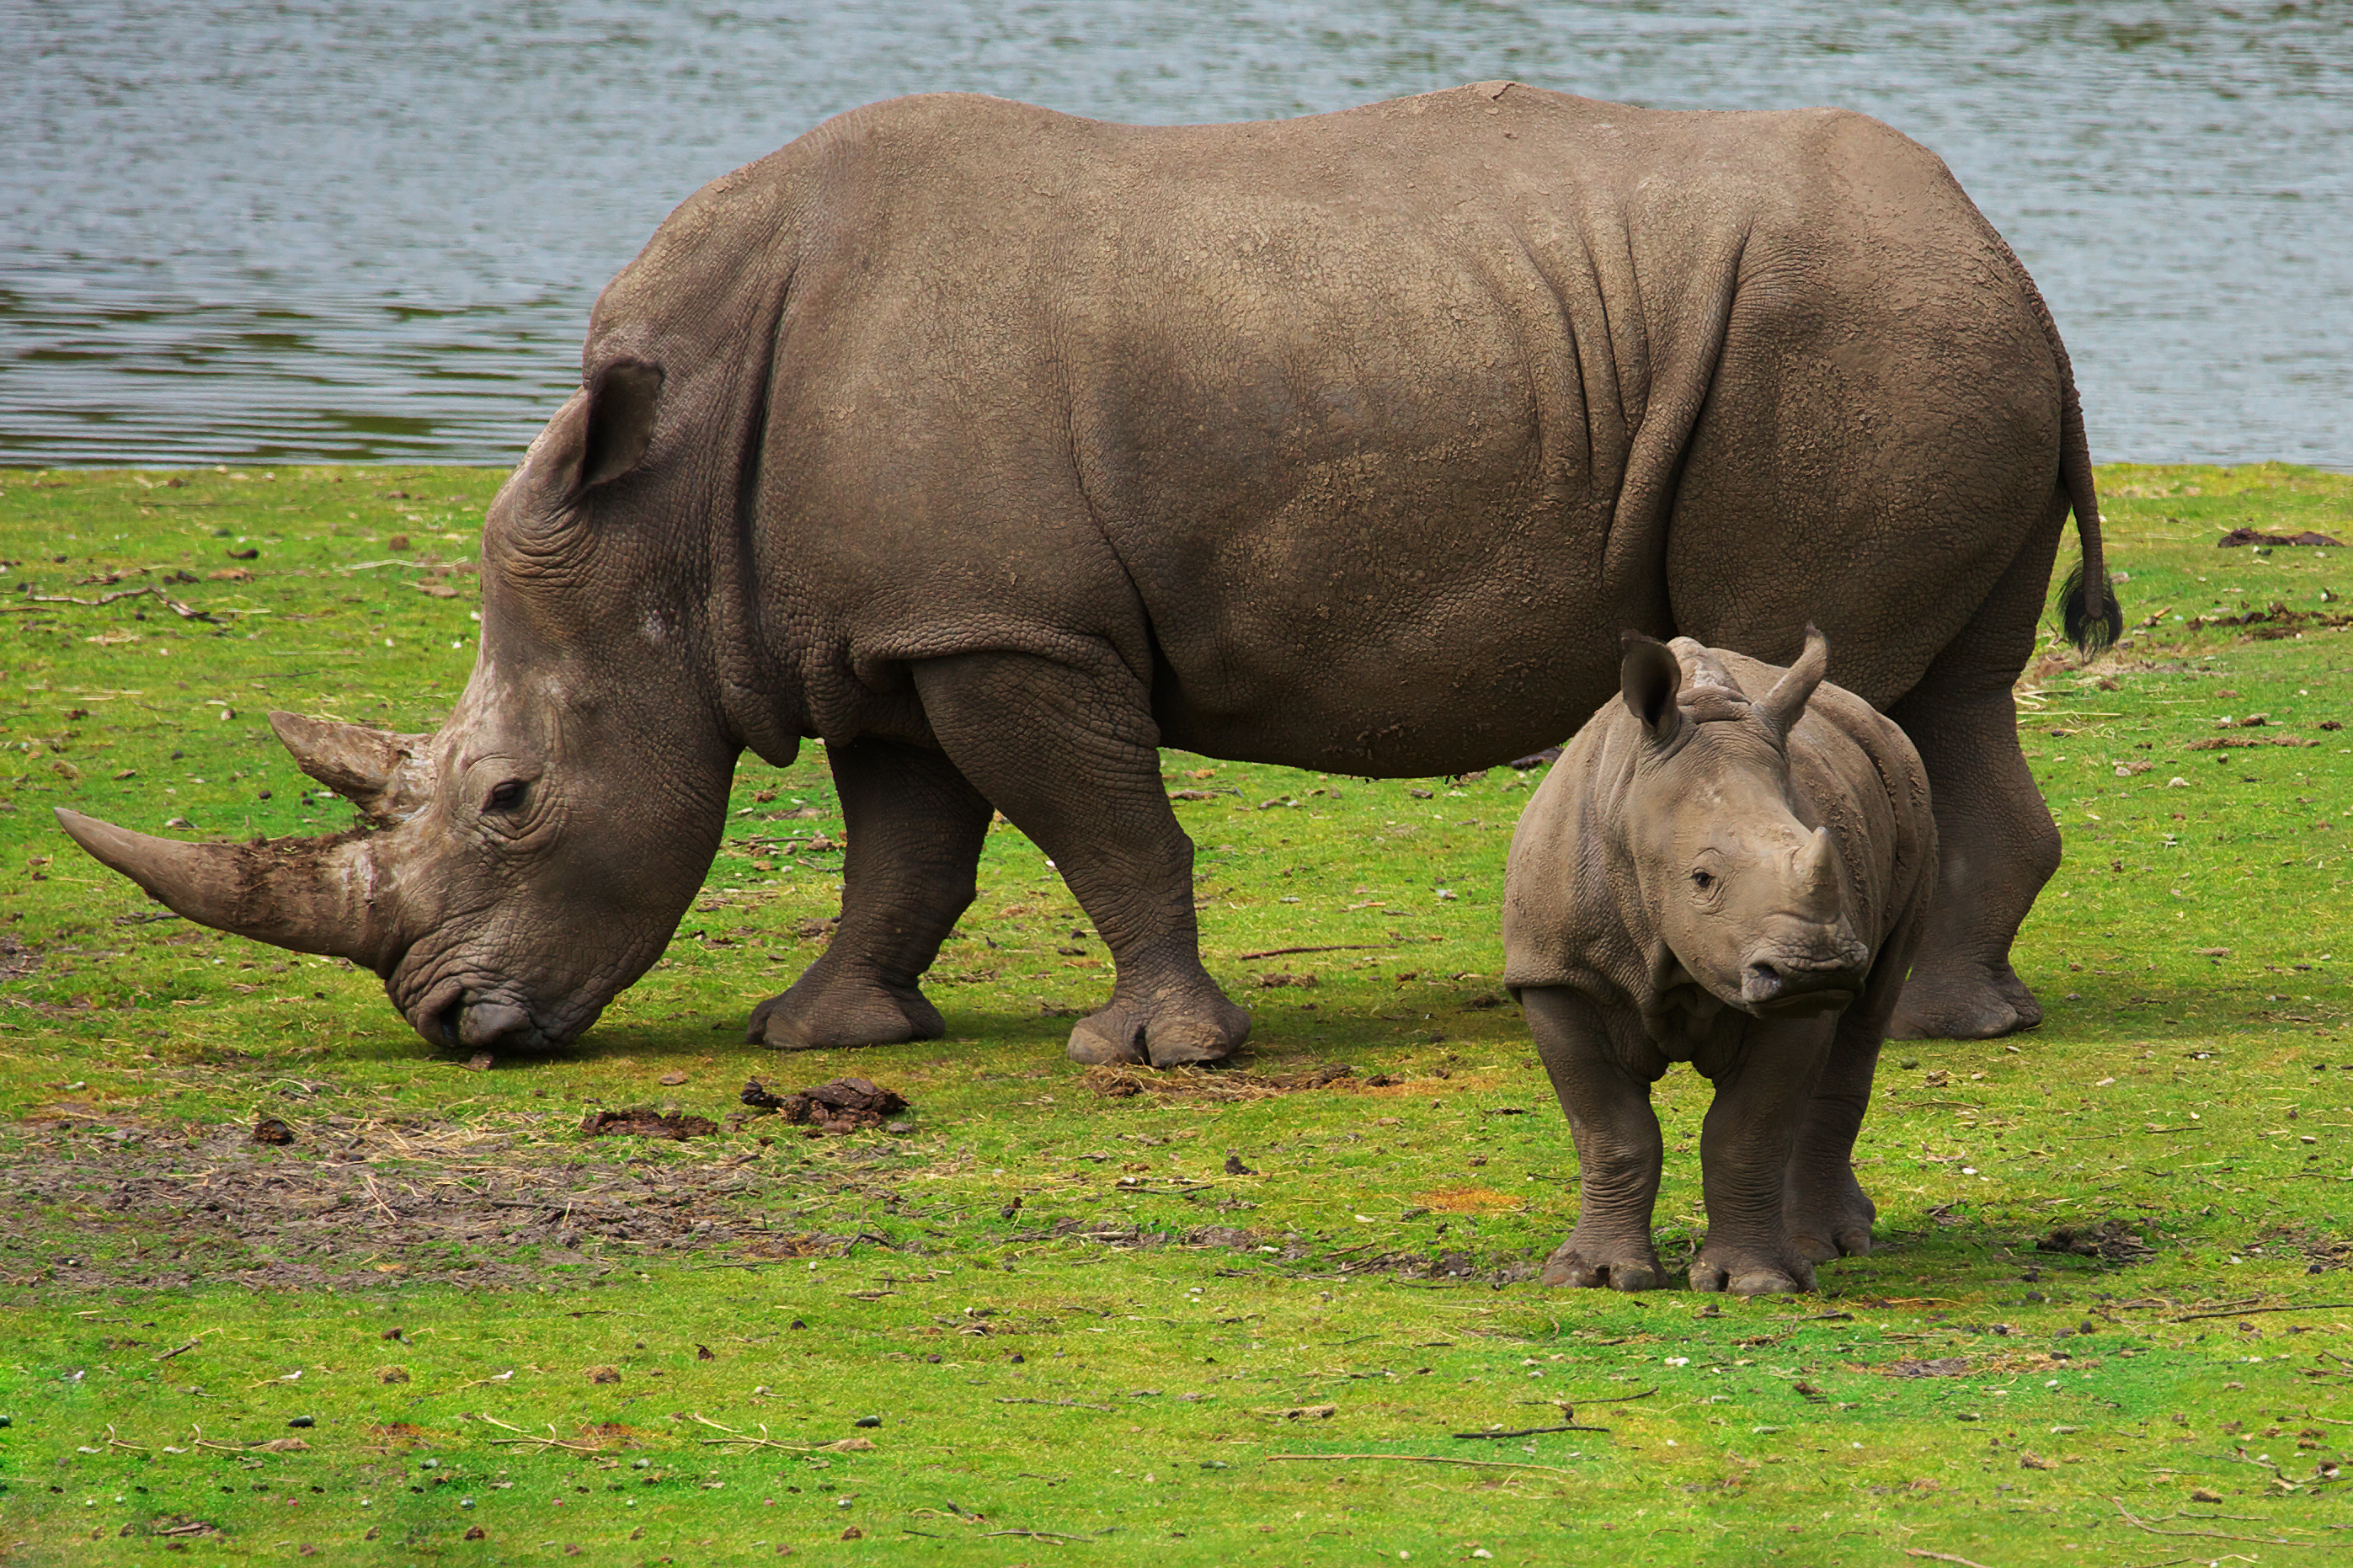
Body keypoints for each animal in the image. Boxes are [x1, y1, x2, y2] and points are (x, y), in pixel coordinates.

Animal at [59, 85, 2117, 1064]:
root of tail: (2004, 252)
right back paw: (1950, 1019)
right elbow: (905, 850)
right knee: (1941, 692)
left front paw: (1149, 1053)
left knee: (1809, 677)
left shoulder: (1003, 632)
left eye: (505, 799)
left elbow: (1099, 829)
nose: (448, 1027)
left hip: (1845, 345)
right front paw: (821, 1031)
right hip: (1911, 340)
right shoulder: (878, 632)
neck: (661, 507)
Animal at [1496, 626, 1939, 1290]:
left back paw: (1822, 1246)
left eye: (1825, 853)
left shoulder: (1794, 1001)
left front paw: (1755, 1282)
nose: (1817, 970)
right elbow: (1609, 1130)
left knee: (1868, 1015)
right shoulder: (1556, 972)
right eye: (1702, 879)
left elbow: (1746, 1133)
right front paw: (1595, 1276)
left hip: (1913, 791)